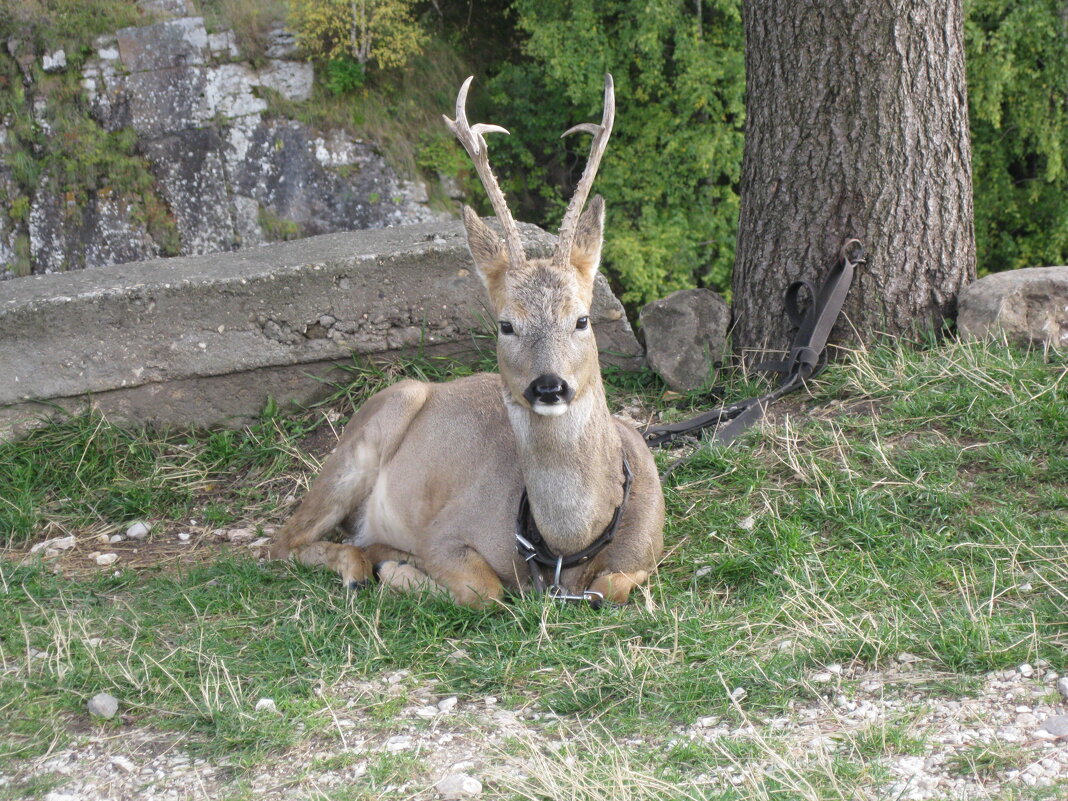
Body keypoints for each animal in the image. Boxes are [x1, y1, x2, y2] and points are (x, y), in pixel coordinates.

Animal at [269, 75, 657, 606]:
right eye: (506, 325)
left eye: (582, 320)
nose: (549, 386)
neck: (567, 549)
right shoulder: (445, 531)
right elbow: (484, 590)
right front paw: (401, 570)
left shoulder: (647, 549)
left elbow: (614, 584)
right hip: (364, 437)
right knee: (282, 542)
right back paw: (360, 567)